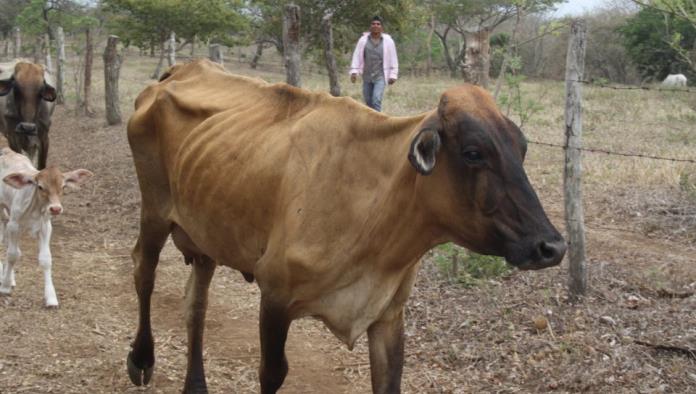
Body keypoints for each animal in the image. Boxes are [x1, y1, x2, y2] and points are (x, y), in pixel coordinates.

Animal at [0, 149, 92, 308]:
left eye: (63, 187)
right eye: (40, 187)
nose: (55, 208)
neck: (35, 209)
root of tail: (7, 151)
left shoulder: (45, 227)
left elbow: (45, 259)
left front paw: (51, 297)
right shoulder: (14, 224)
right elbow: (13, 254)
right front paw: (5, 287)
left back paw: (10, 278)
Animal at [125, 59, 568, 394]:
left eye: (522, 149)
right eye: (474, 153)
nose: (552, 247)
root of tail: (181, 69)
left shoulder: (388, 314)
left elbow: (389, 381)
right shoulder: (275, 297)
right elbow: (272, 374)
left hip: (205, 233)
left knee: (195, 305)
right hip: (154, 209)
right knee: (143, 271)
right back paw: (142, 359)